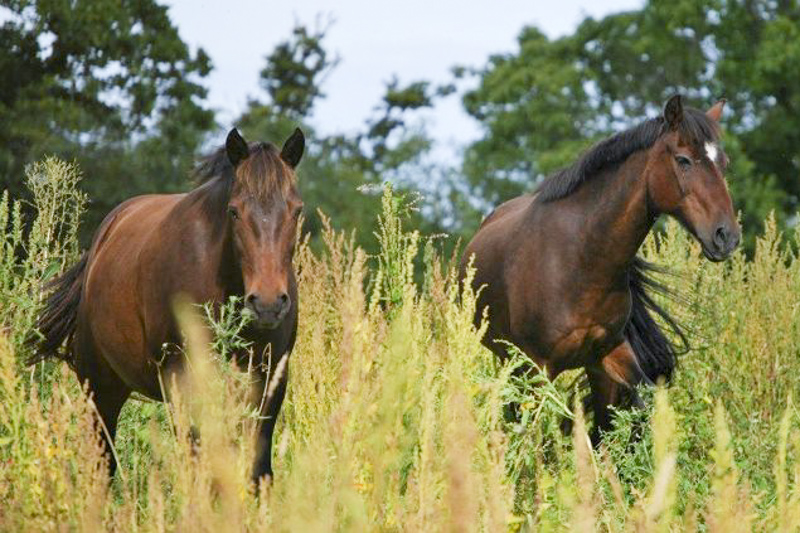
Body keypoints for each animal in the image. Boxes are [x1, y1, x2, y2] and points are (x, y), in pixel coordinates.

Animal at [28, 128, 306, 482]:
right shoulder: (182, 379)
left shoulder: (269, 379)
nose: (268, 304)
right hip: (100, 390)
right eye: (234, 211)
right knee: (104, 464)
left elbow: (258, 470)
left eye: (296, 211)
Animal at [460, 96, 740, 440]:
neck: (580, 259)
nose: (726, 236)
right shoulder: (537, 367)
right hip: (509, 362)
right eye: (684, 160)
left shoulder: (606, 357)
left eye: (723, 162)